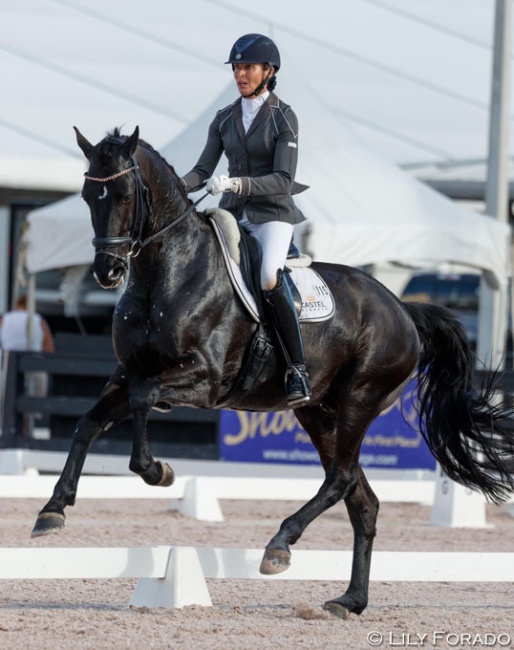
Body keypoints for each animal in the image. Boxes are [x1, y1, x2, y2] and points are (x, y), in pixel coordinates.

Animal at [32, 126, 512, 616]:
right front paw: (53, 509)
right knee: (363, 501)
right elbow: (88, 423)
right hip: (316, 413)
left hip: (359, 400)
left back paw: (280, 545)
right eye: (88, 195)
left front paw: (157, 471)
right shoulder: (127, 374)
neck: (164, 272)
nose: (107, 272)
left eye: (126, 195)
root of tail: (402, 308)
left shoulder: (203, 380)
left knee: (340, 480)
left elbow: (145, 399)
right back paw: (349, 600)